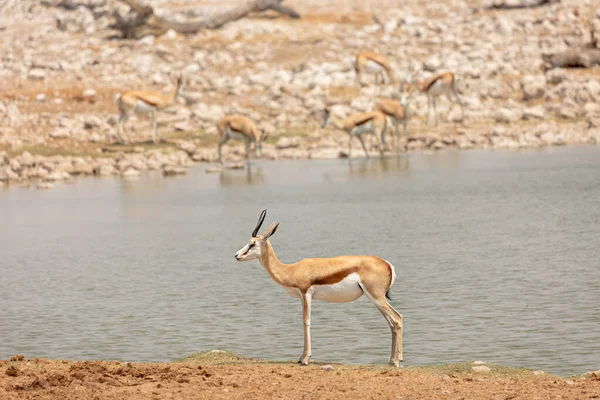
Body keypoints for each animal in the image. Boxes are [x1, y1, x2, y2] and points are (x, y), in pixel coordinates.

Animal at [236, 211, 404, 368]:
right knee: (392, 324)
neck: (291, 270)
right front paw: (301, 357)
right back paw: (391, 361)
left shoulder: (306, 293)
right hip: (375, 299)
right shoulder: (302, 297)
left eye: (253, 244)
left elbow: (306, 321)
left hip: (377, 297)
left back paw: (398, 360)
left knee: (398, 318)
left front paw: (305, 359)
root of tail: (387, 264)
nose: (237, 255)